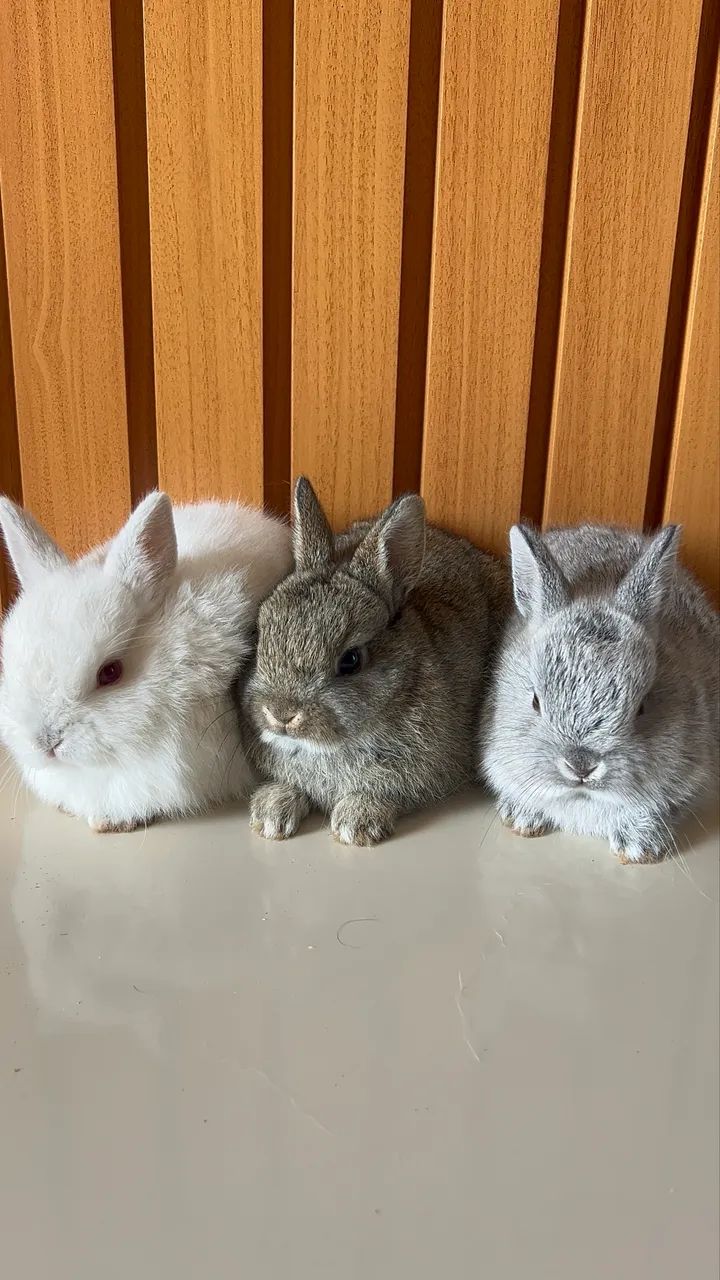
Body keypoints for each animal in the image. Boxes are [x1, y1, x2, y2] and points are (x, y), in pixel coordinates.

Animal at [239, 477, 511, 846]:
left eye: (351, 660)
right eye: (260, 635)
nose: (281, 714)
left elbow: (381, 792)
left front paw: (356, 823)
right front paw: (271, 814)